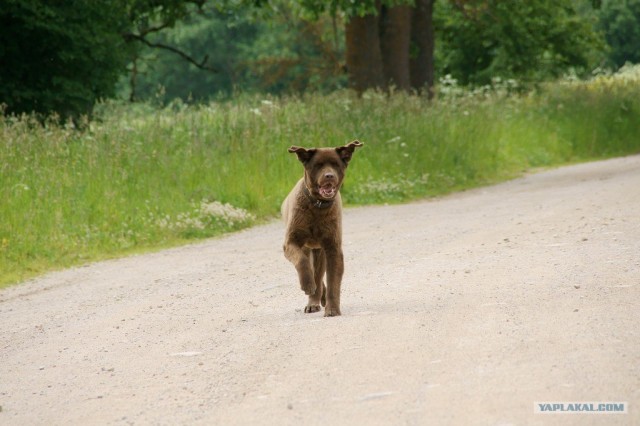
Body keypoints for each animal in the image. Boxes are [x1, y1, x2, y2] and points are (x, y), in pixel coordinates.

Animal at [282, 141, 362, 316]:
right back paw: (312, 297)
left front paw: (332, 309)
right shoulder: (291, 242)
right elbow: (302, 261)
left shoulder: (333, 248)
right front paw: (307, 284)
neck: (317, 206)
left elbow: (333, 283)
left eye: (336, 164)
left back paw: (317, 299)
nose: (329, 176)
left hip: (320, 251)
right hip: (309, 248)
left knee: (319, 277)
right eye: (318, 165)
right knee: (312, 271)